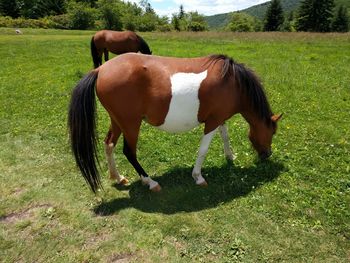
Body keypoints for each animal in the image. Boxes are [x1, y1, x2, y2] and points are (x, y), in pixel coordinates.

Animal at [68, 53, 282, 194]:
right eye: (272, 132)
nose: (267, 154)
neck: (233, 82)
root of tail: (101, 69)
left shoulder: (220, 118)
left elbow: (225, 135)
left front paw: (230, 156)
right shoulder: (212, 121)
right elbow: (203, 150)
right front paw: (198, 176)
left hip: (118, 121)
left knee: (109, 144)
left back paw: (118, 177)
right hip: (131, 125)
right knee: (129, 152)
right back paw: (151, 182)